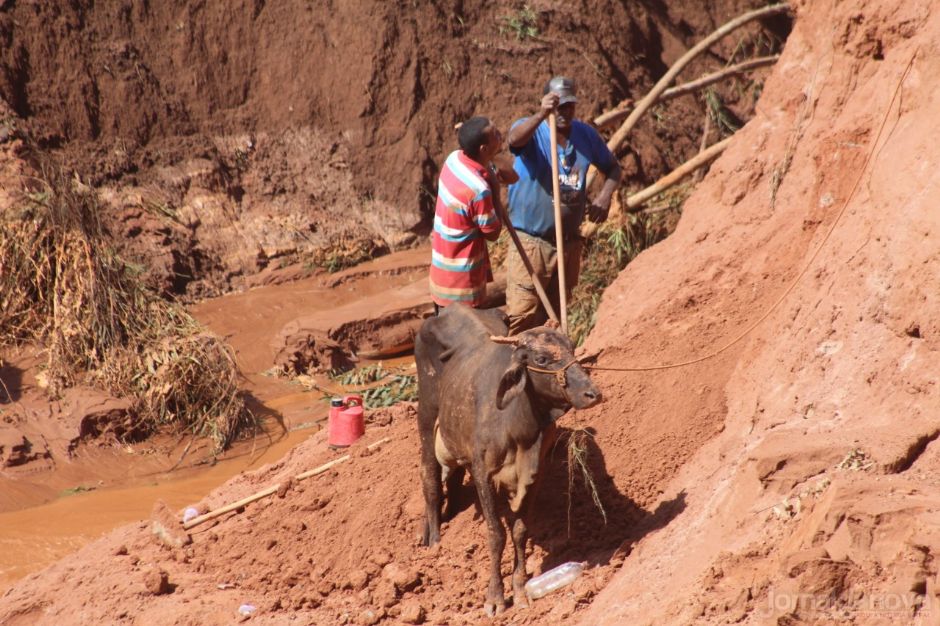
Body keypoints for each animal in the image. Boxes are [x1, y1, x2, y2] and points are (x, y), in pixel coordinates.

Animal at [415, 305, 601, 615]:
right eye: (541, 359)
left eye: (572, 349)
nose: (592, 393)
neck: (520, 429)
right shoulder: (483, 475)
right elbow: (496, 534)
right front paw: (495, 597)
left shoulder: (535, 475)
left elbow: (519, 531)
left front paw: (520, 590)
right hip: (426, 419)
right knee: (430, 479)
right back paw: (435, 542)